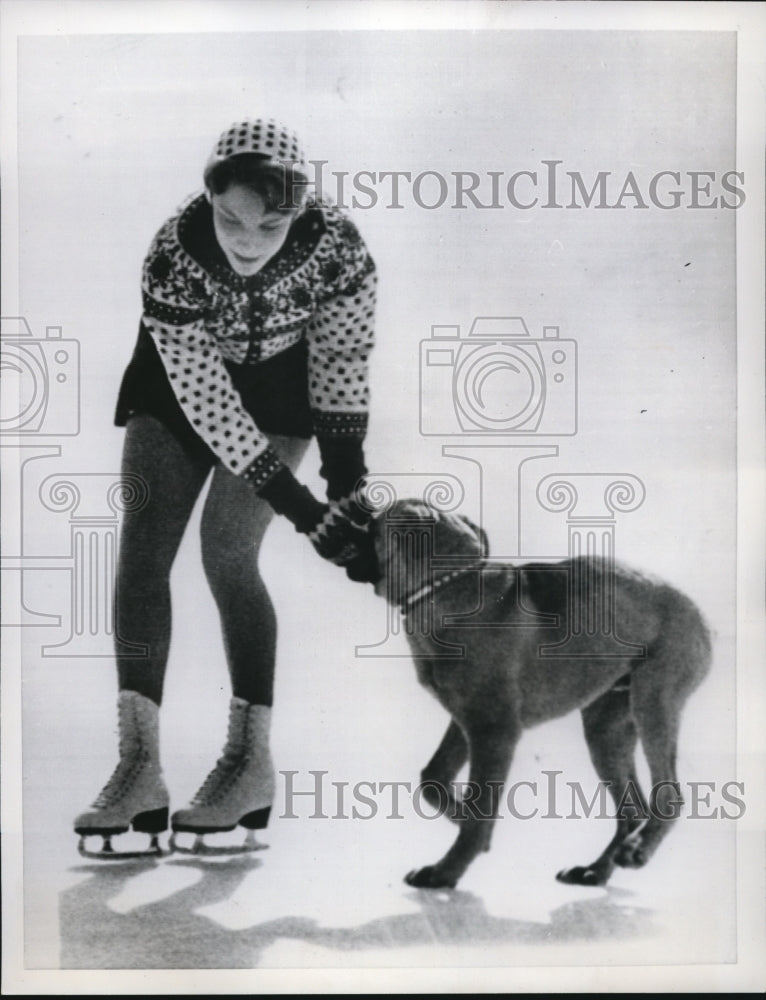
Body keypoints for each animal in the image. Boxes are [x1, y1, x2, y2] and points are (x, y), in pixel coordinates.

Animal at [372, 504, 712, 888]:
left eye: (372, 526)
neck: (449, 585)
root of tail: (702, 617)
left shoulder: (494, 733)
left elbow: (479, 807)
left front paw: (446, 871)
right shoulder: (466, 723)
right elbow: (434, 778)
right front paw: (469, 827)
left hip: (653, 704)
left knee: (669, 796)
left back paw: (637, 851)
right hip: (606, 730)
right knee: (632, 809)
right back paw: (596, 870)